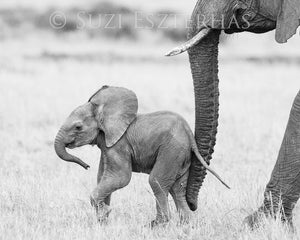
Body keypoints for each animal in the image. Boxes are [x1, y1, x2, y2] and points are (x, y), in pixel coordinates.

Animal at [54, 86, 230, 225]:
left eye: (78, 127)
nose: (86, 166)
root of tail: (189, 133)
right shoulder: (107, 144)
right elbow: (102, 177)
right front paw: (102, 220)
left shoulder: (119, 144)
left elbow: (120, 178)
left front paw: (105, 213)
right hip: (181, 155)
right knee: (177, 188)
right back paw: (186, 225)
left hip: (172, 150)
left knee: (156, 181)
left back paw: (157, 225)